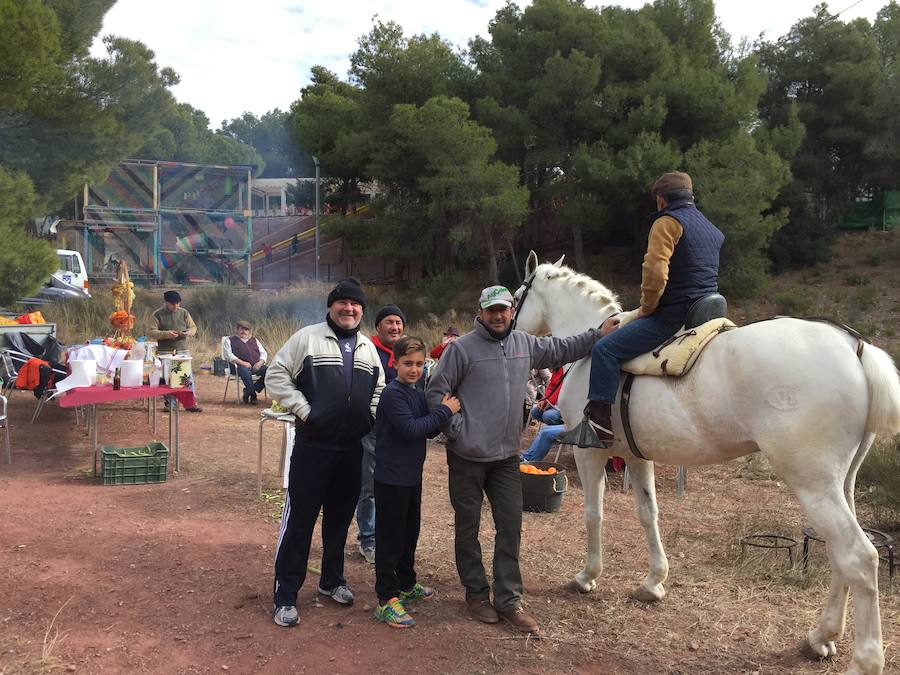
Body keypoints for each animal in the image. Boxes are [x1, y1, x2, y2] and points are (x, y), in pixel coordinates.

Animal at [512, 254, 900, 675]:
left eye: (516, 297)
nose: (510, 332)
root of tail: (853, 345)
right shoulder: (635, 456)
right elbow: (648, 513)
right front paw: (653, 582)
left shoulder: (590, 454)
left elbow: (593, 514)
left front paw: (587, 576)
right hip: (840, 485)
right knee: (839, 555)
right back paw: (822, 636)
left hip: (814, 485)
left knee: (858, 557)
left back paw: (864, 659)